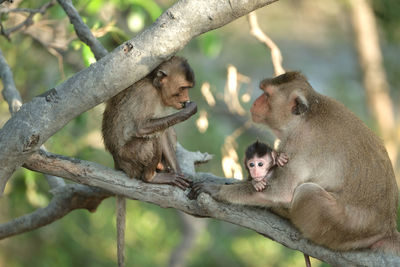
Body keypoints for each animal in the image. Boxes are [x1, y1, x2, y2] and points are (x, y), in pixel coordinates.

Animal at [103, 55, 197, 266]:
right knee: (152, 136)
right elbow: (141, 127)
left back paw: (163, 168)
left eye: (188, 88)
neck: (155, 87)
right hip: (129, 158)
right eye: (182, 88)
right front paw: (188, 112)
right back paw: (150, 177)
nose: (185, 99)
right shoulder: (146, 95)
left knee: (164, 131)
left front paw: (179, 173)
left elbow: (165, 133)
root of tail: (116, 161)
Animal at [191, 72, 400, 256]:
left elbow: (281, 191)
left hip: (343, 226)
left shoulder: (298, 144)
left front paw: (217, 190)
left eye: (267, 95)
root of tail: (387, 228)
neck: (305, 117)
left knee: (308, 191)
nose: (256, 102)